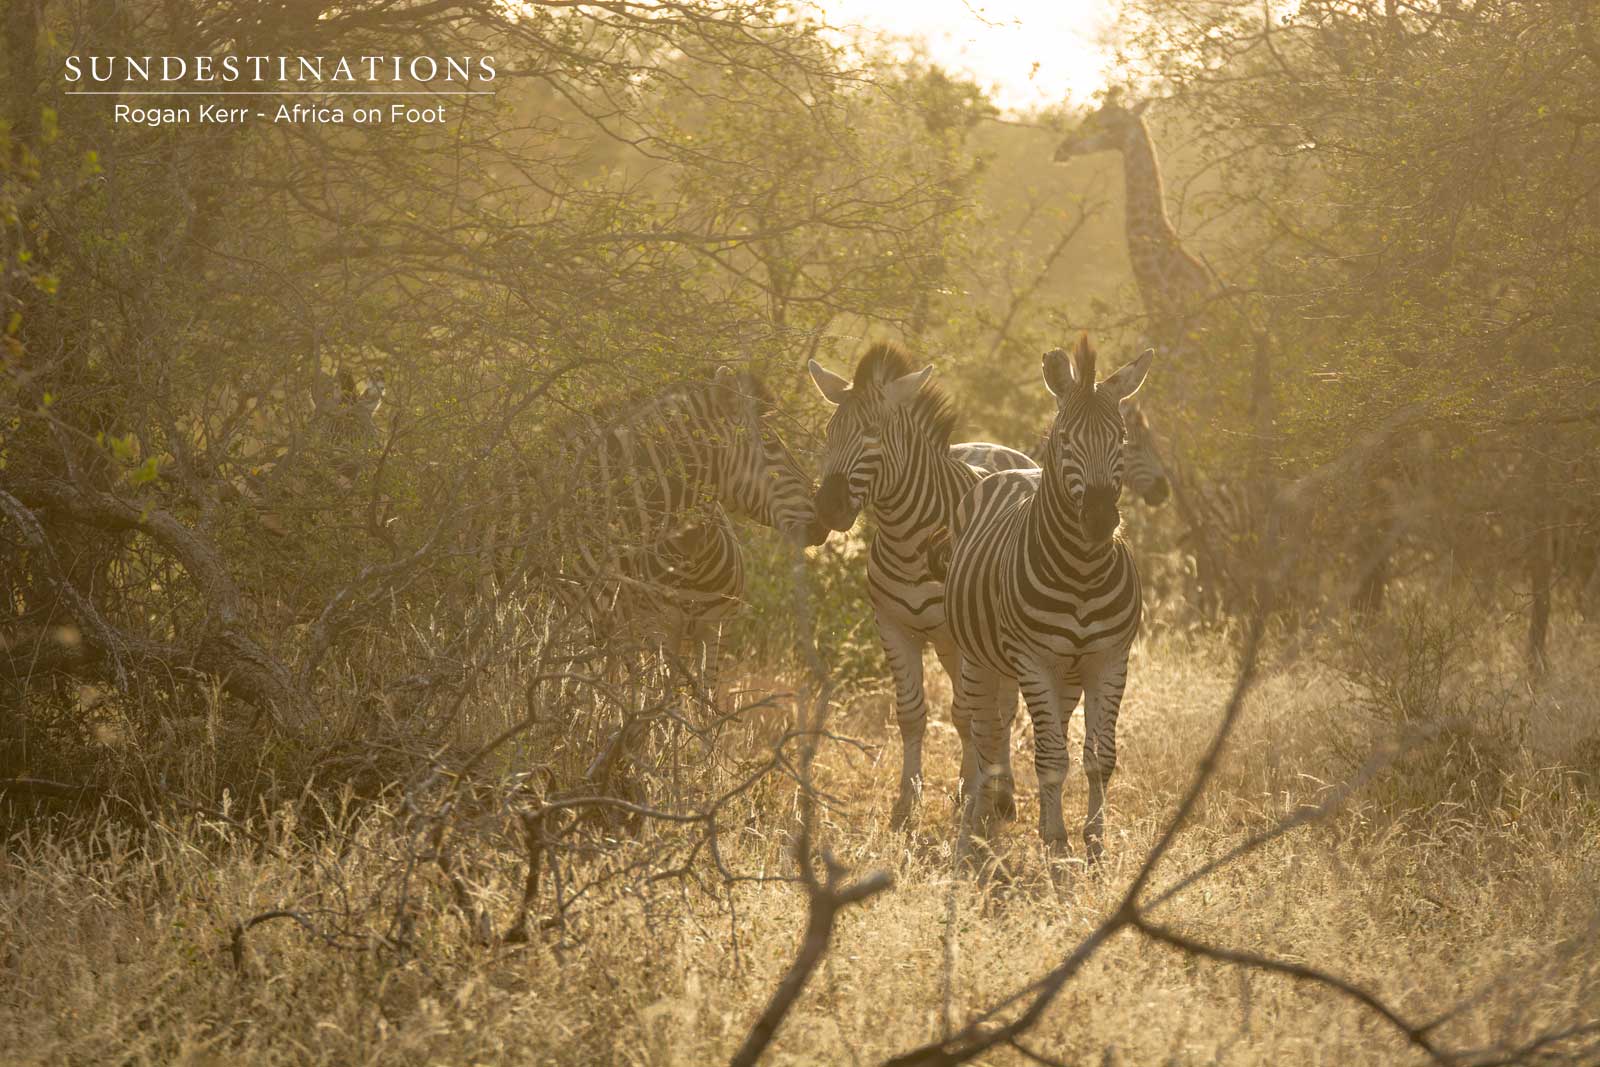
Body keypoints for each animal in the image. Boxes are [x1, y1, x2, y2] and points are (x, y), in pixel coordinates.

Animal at [808, 342, 1037, 826]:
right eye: (829, 431)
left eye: (873, 433)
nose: (827, 509)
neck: (908, 538)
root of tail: (1000, 446)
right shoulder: (892, 627)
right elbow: (913, 714)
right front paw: (906, 803)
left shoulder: (961, 636)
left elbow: (968, 713)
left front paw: (971, 793)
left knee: (1001, 709)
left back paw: (1001, 792)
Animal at [941, 334, 1153, 858]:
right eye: (1065, 441)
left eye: (1121, 440)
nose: (1099, 521)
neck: (1082, 572)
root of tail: (1017, 469)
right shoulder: (1033, 660)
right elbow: (1051, 758)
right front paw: (1057, 843)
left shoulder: (1109, 659)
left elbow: (1098, 757)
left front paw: (1093, 840)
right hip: (980, 659)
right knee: (985, 733)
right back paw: (975, 822)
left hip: (1065, 675)